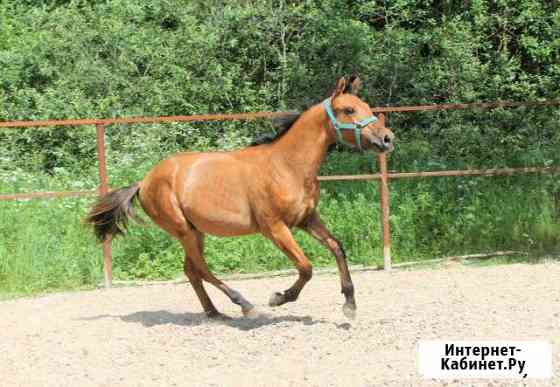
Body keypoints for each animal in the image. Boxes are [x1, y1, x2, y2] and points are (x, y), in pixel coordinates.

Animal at [86, 75, 394, 318]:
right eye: (349, 109)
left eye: (368, 107)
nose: (387, 138)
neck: (288, 166)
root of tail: (145, 181)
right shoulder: (274, 228)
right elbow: (306, 267)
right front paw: (279, 298)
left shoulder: (306, 219)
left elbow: (337, 248)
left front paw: (350, 305)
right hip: (183, 229)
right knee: (201, 268)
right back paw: (244, 304)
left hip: (196, 231)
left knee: (191, 270)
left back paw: (214, 312)